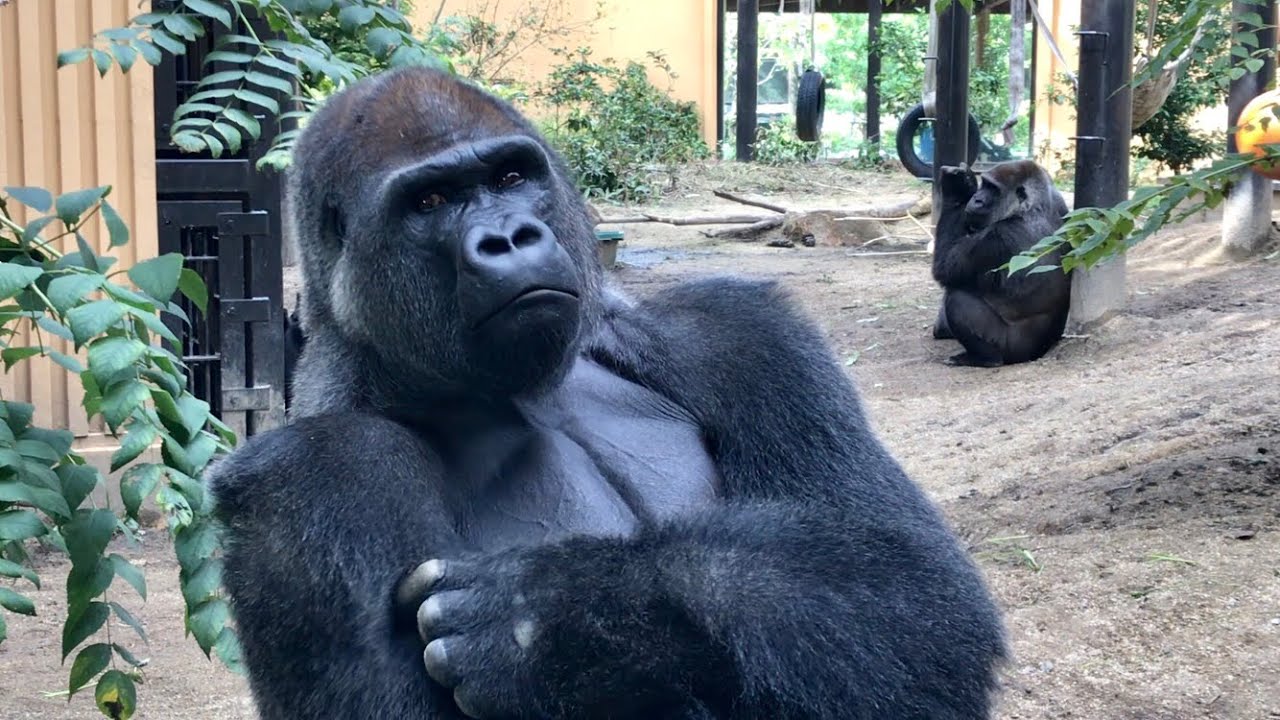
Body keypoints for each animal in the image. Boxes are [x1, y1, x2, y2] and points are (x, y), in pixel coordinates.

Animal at [207, 67, 1008, 720]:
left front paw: (554, 616)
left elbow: (915, 584)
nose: (509, 237)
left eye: (510, 178)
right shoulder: (315, 467)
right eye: (429, 199)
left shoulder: (739, 333)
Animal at [932, 160, 1072, 367]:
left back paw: (984, 358)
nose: (976, 199)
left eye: (993, 189)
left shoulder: (996, 238)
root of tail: (1038, 353)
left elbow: (944, 270)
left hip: (1013, 352)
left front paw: (957, 187)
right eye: (984, 185)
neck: (1031, 206)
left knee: (957, 298)